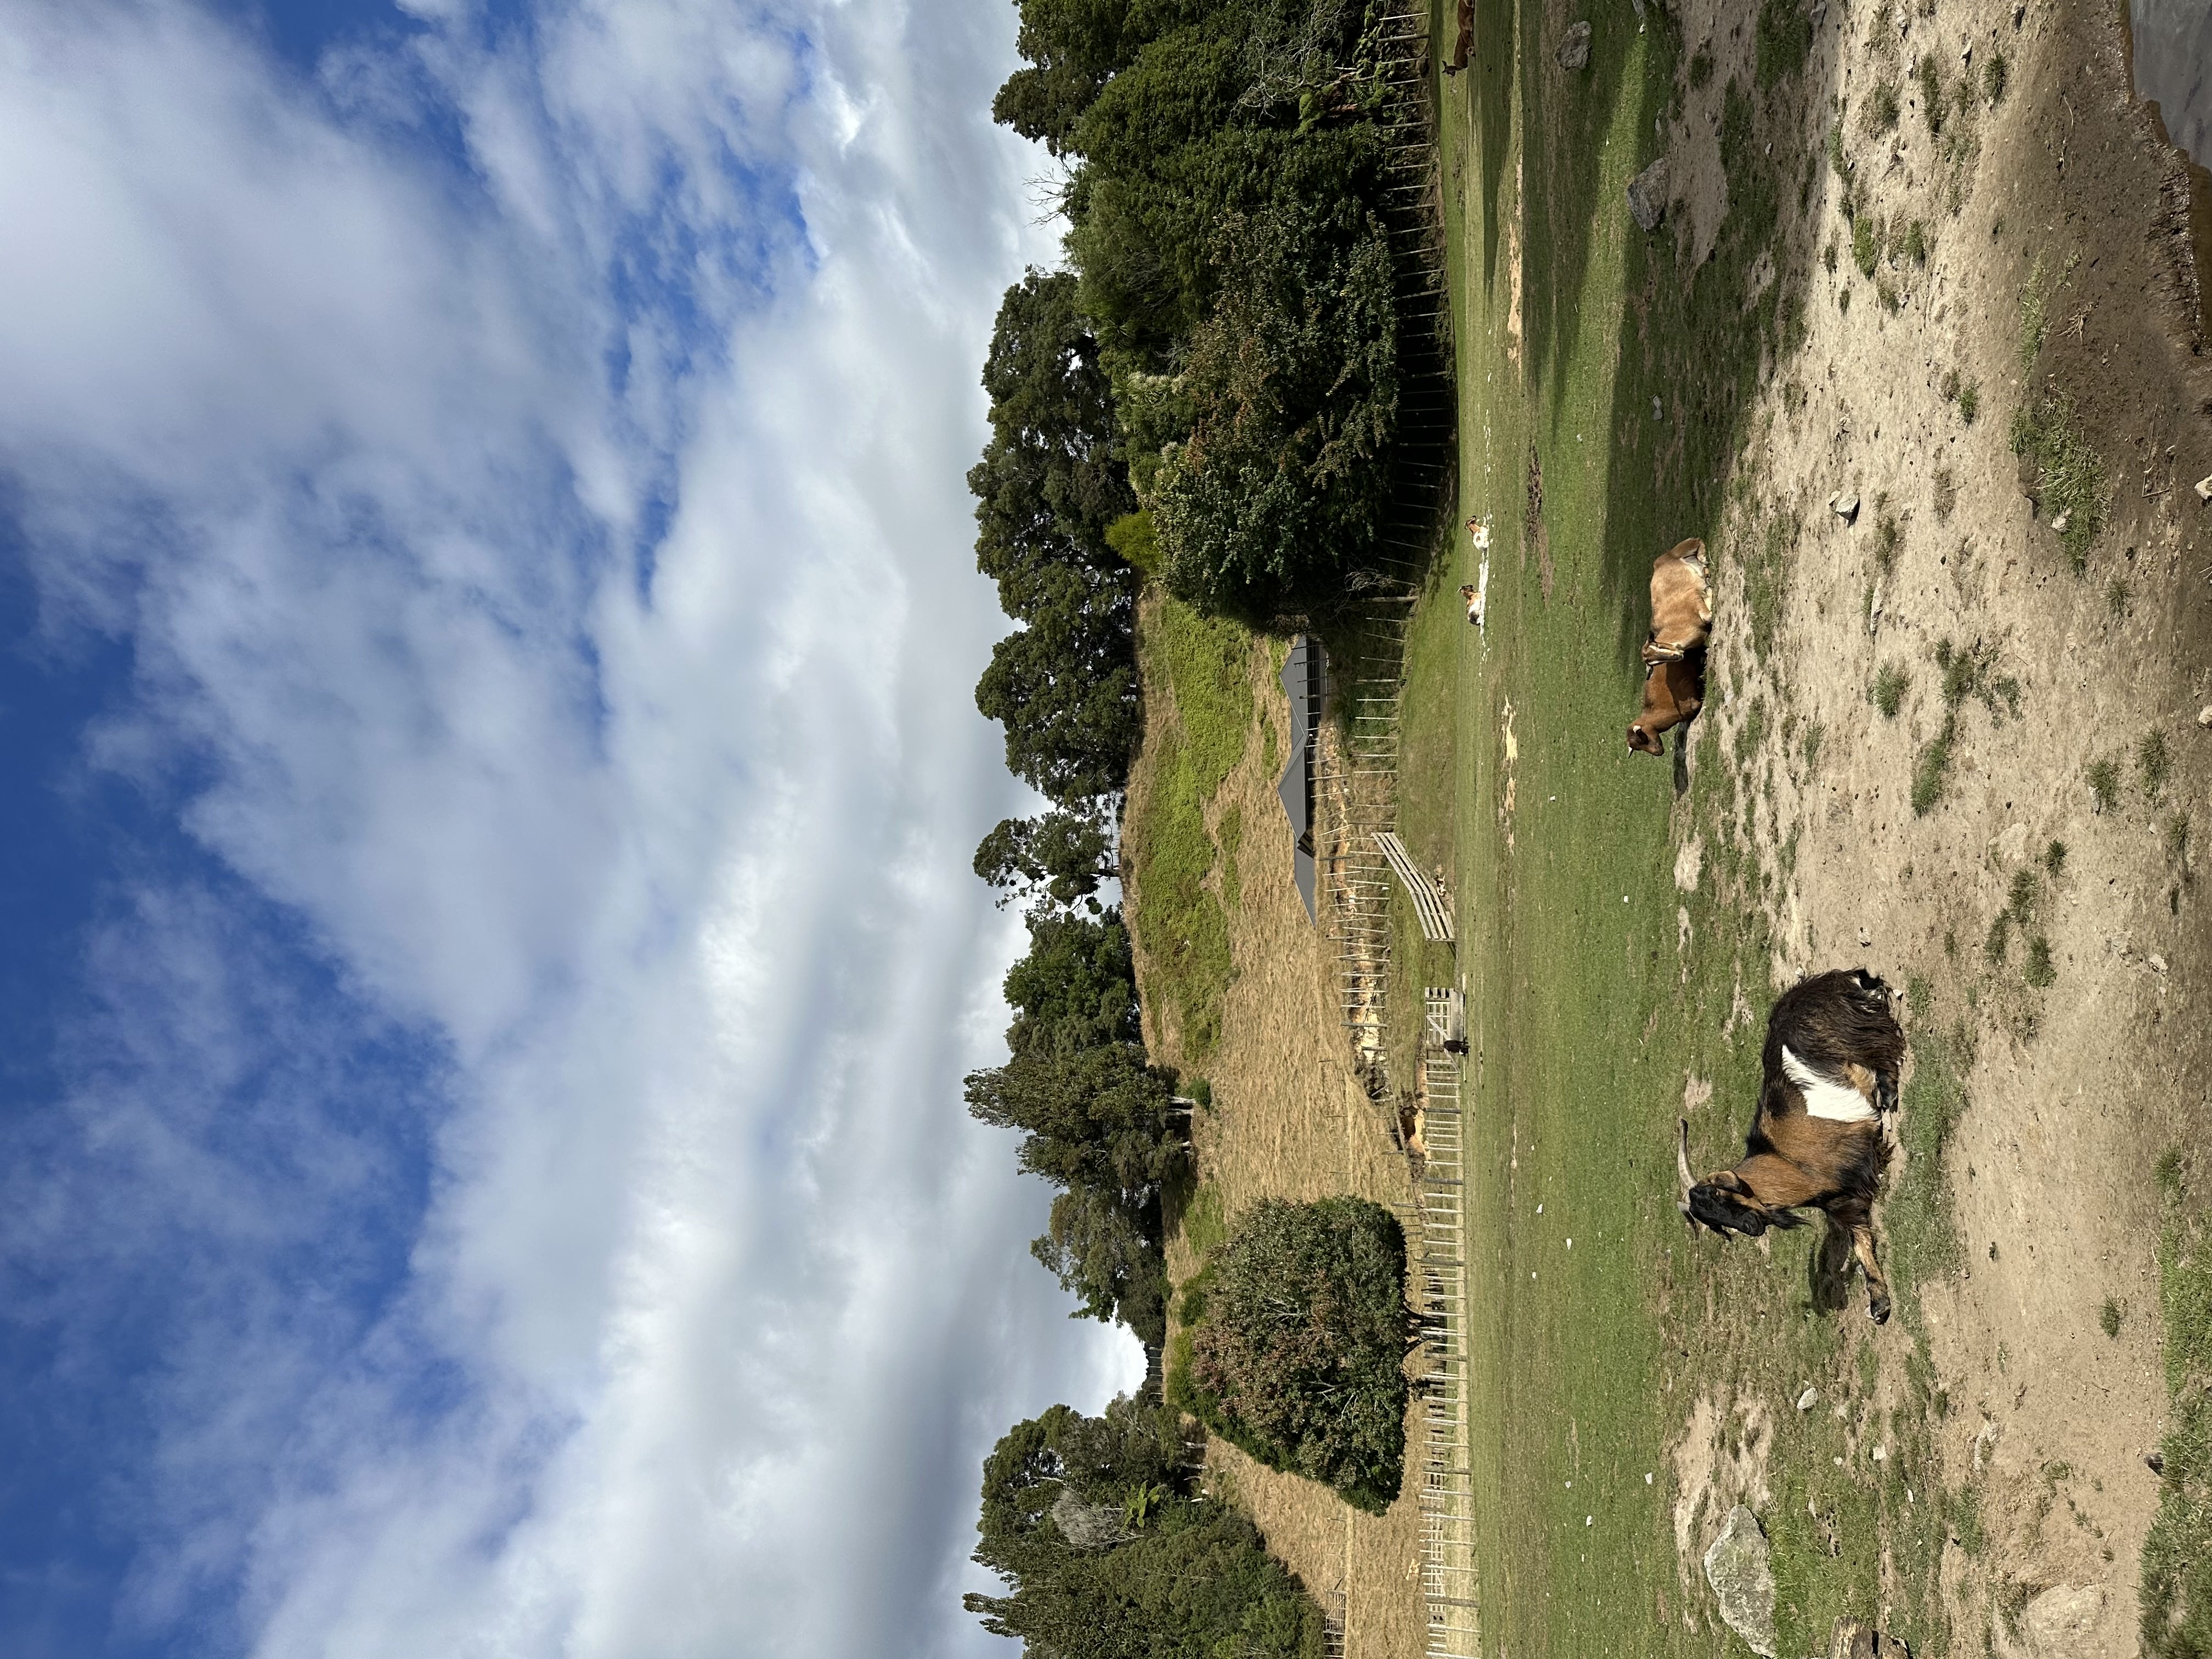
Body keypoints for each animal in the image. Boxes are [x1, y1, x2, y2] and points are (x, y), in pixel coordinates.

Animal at [1676, 968, 1906, 1323]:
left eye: (1716, 1194)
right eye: (1713, 1224)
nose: (1751, 1227)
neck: (1787, 1161)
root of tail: (1827, 980)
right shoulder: (1841, 1201)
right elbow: (1860, 1241)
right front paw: (1879, 1304)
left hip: (1859, 1030)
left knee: (1884, 1040)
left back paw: (1888, 1088)